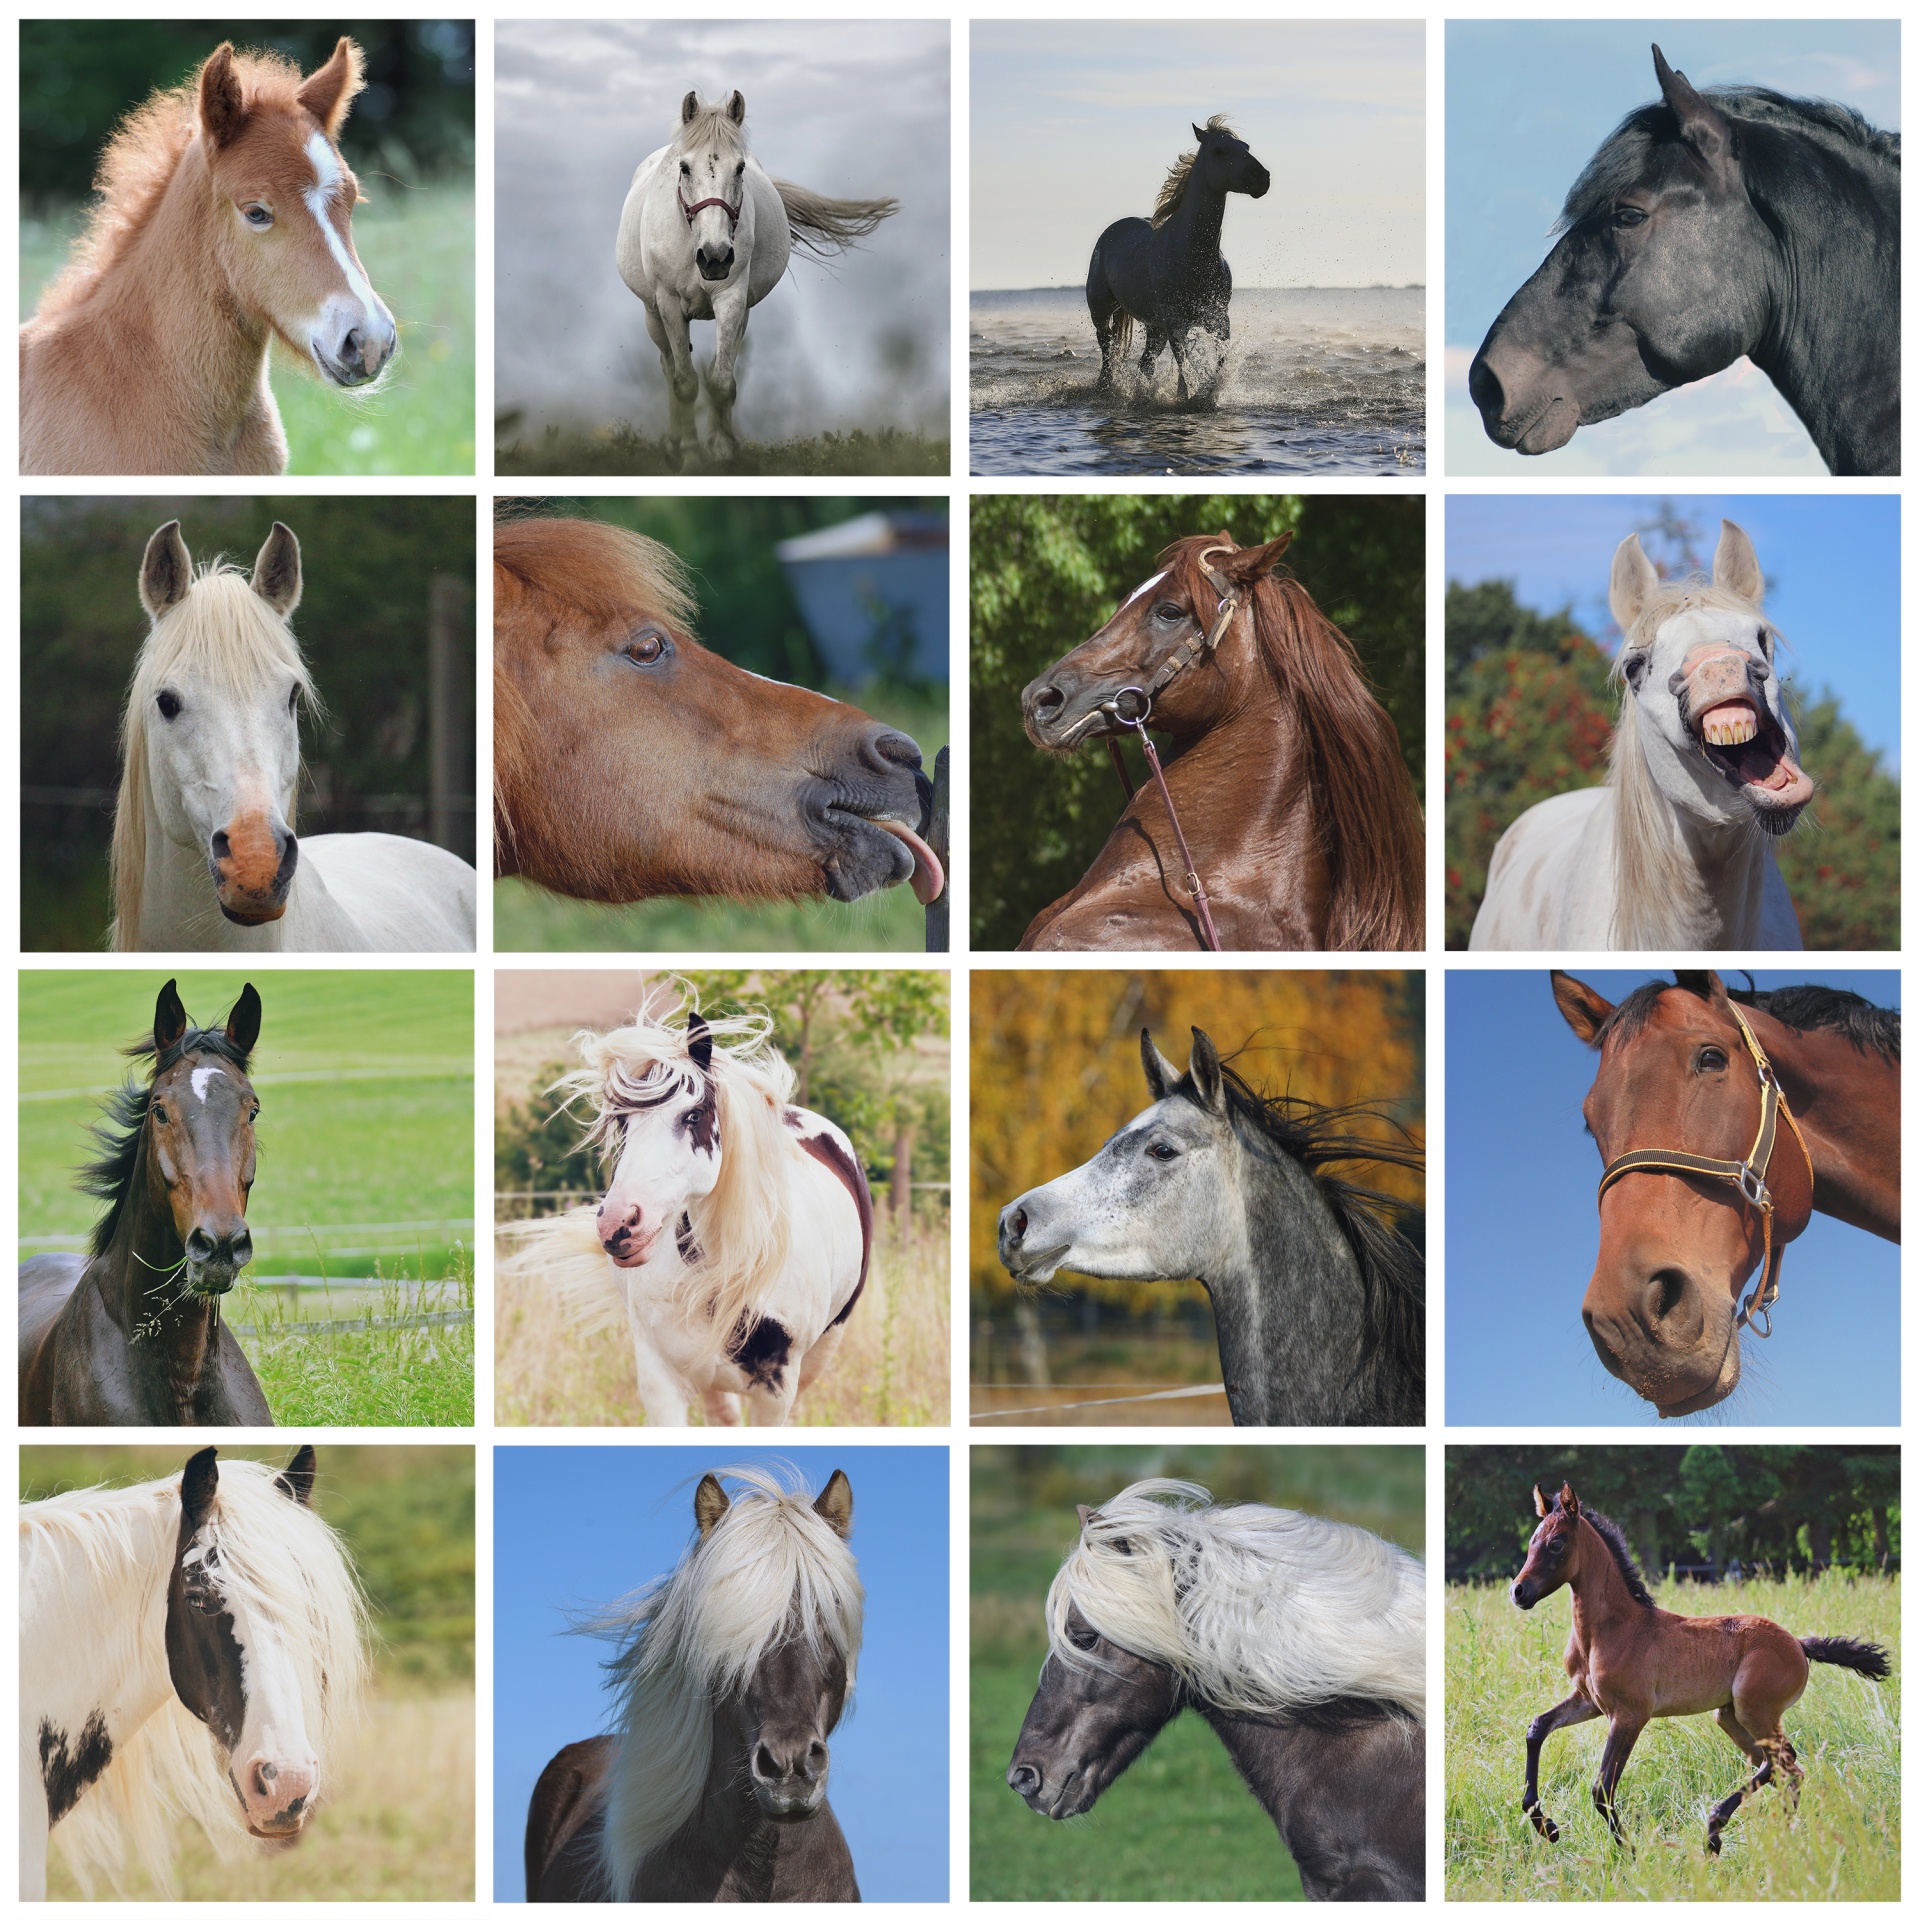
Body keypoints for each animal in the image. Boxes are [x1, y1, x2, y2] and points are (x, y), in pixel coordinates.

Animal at [498, 995, 872, 1427]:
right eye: (622, 1123)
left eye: (693, 1115)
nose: (619, 1224)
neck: (723, 1272)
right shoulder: (660, 1379)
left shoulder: (777, 1389)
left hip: (821, 1350)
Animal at [615, 90, 899, 468]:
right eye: (684, 167)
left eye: (739, 168)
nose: (715, 257)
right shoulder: (669, 304)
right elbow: (685, 383)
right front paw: (690, 457)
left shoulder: (732, 299)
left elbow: (721, 382)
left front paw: (722, 452)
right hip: (653, 313)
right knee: (668, 367)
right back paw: (674, 446)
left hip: (742, 314)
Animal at [1087, 117, 1271, 407]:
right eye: (1219, 150)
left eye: (1246, 147)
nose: (1261, 178)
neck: (1194, 254)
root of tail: (1111, 230)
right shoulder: (1176, 323)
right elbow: (1184, 365)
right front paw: (1187, 398)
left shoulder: (1218, 320)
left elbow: (1218, 361)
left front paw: (1207, 396)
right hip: (1102, 311)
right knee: (1108, 354)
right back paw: (1106, 389)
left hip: (1154, 327)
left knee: (1145, 363)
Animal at [1512, 1482, 1890, 1854]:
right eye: (1531, 1542)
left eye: (1556, 1543)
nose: (1518, 1591)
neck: (1612, 1629)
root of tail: (1798, 1644)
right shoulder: (1588, 1700)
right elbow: (1537, 1728)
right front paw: (1546, 1826)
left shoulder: (1630, 1714)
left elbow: (1602, 1786)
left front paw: (1629, 1852)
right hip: (1731, 1717)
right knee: (1787, 1770)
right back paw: (1781, 1838)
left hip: (1755, 1711)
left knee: (1782, 1760)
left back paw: (1715, 1830)